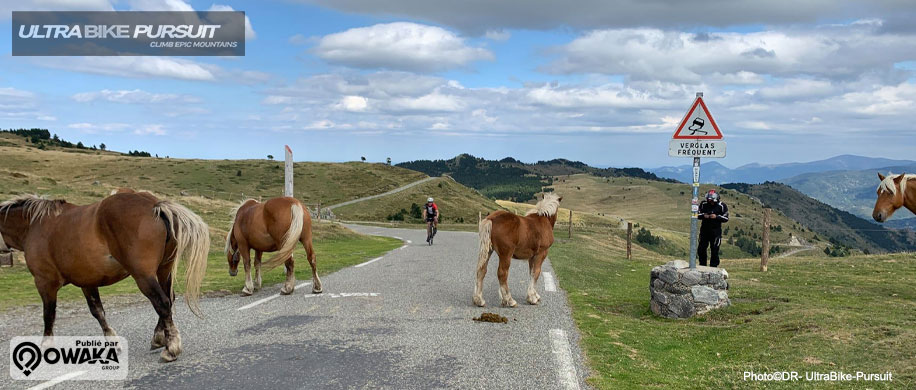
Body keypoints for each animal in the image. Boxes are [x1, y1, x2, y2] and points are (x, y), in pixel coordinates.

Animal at [0, 192, 208, 362]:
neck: (34, 226)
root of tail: (154, 205)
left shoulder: (45, 282)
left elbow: (48, 314)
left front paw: (46, 345)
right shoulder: (87, 282)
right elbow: (97, 311)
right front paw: (112, 340)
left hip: (144, 276)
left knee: (162, 303)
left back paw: (171, 348)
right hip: (164, 270)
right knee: (169, 299)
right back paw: (159, 337)